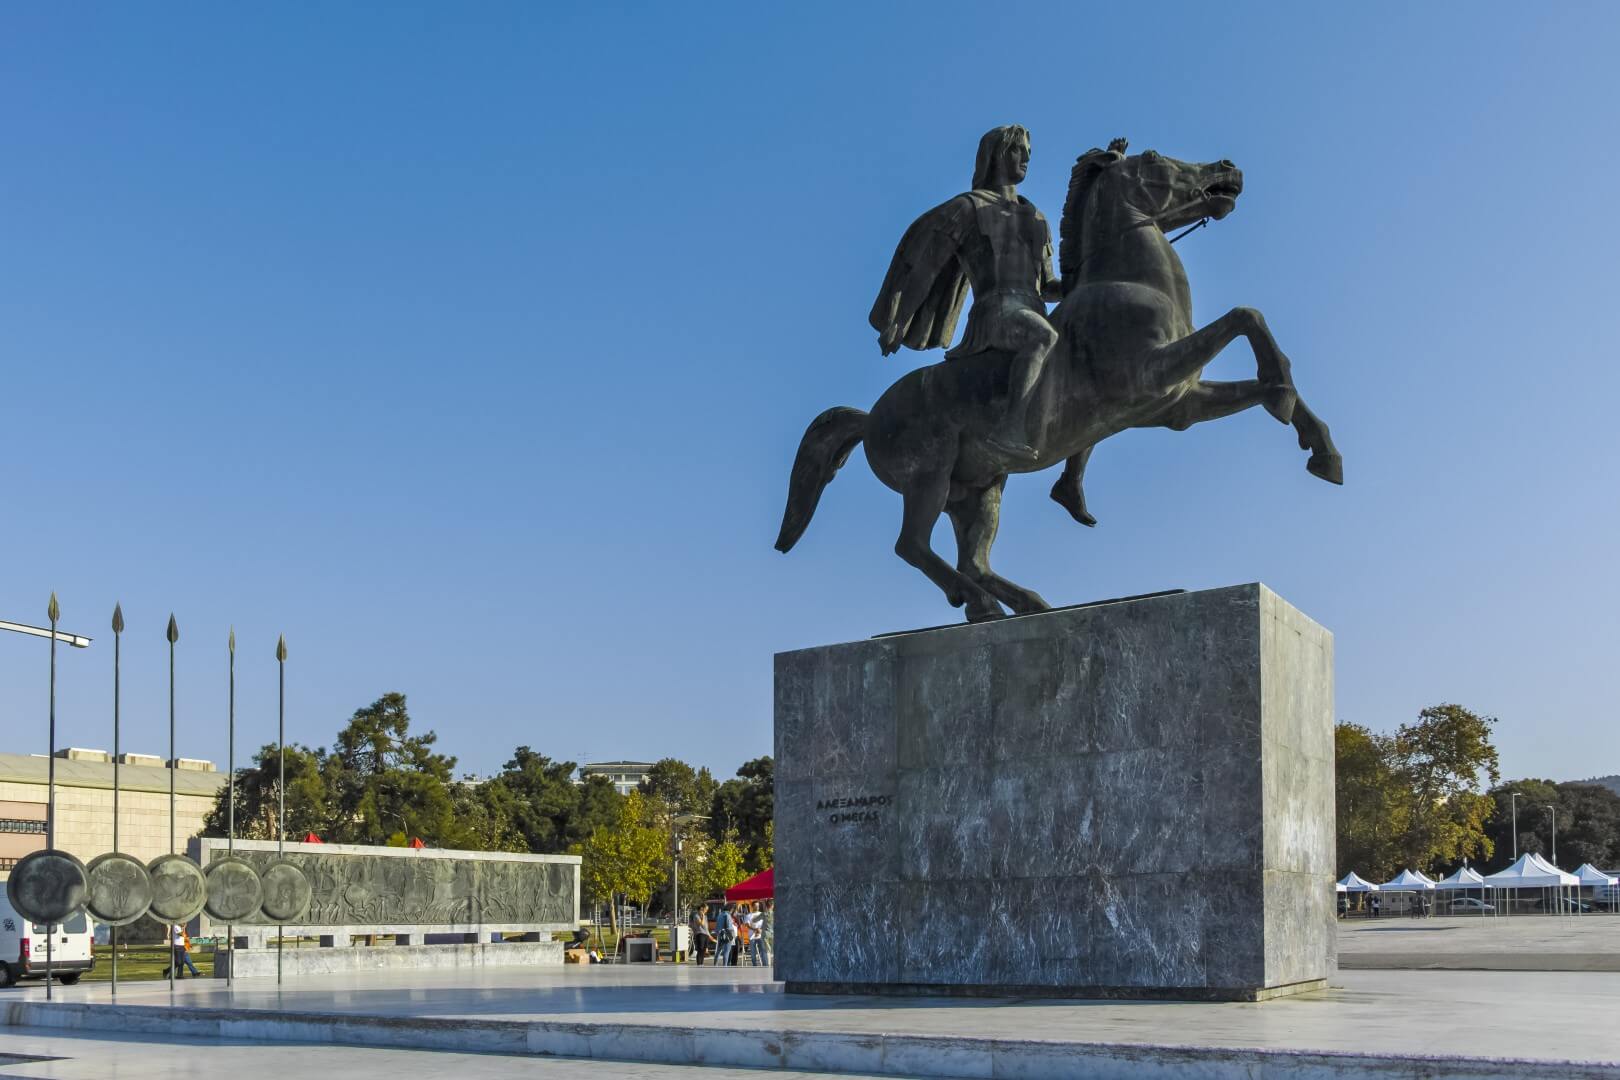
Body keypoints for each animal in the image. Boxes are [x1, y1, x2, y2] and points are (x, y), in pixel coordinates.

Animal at [771, 141, 1341, 625]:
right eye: (1155, 157)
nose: (1227, 168)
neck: (1129, 281)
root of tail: (870, 417)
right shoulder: (1152, 374)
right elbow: (1245, 316)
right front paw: (1287, 400)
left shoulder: (1174, 405)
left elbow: (1254, 366)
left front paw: (1318, 447)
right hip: (928, 479)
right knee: (912, 545)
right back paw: (982, 601)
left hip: (977, 490)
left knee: (972, 559)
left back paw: (1021, 602)